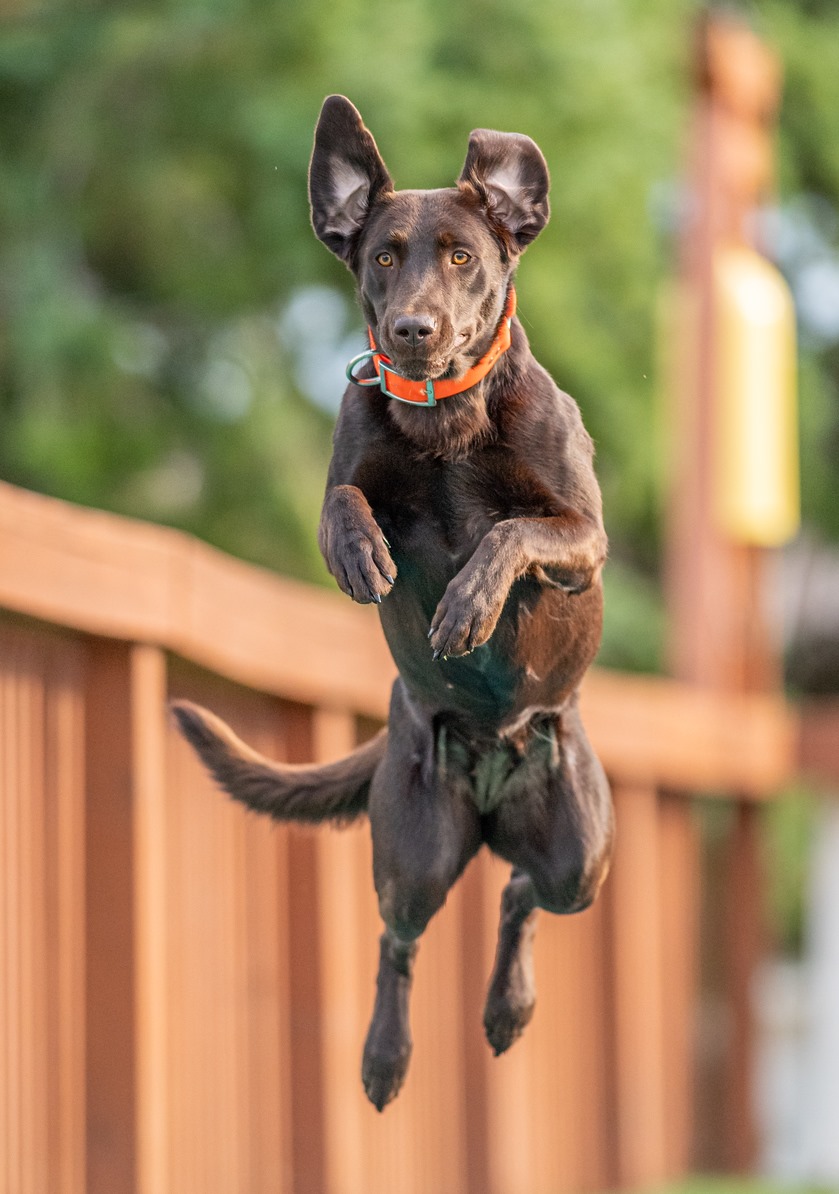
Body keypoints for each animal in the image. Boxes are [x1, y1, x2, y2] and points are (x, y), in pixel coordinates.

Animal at [174, 97, 615, 1112]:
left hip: (579, 853)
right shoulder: (353, 447)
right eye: (381, 256)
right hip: (414, 850)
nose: (411, 330)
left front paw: (465, 607)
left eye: (460, 256)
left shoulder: (582, 540)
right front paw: (360, 553)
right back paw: (385, 1056)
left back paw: (507, 1009)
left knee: (523, 894)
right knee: (399, 937)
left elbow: (512, 533)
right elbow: (343, 496)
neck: (443, 416)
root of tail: (488, 784)